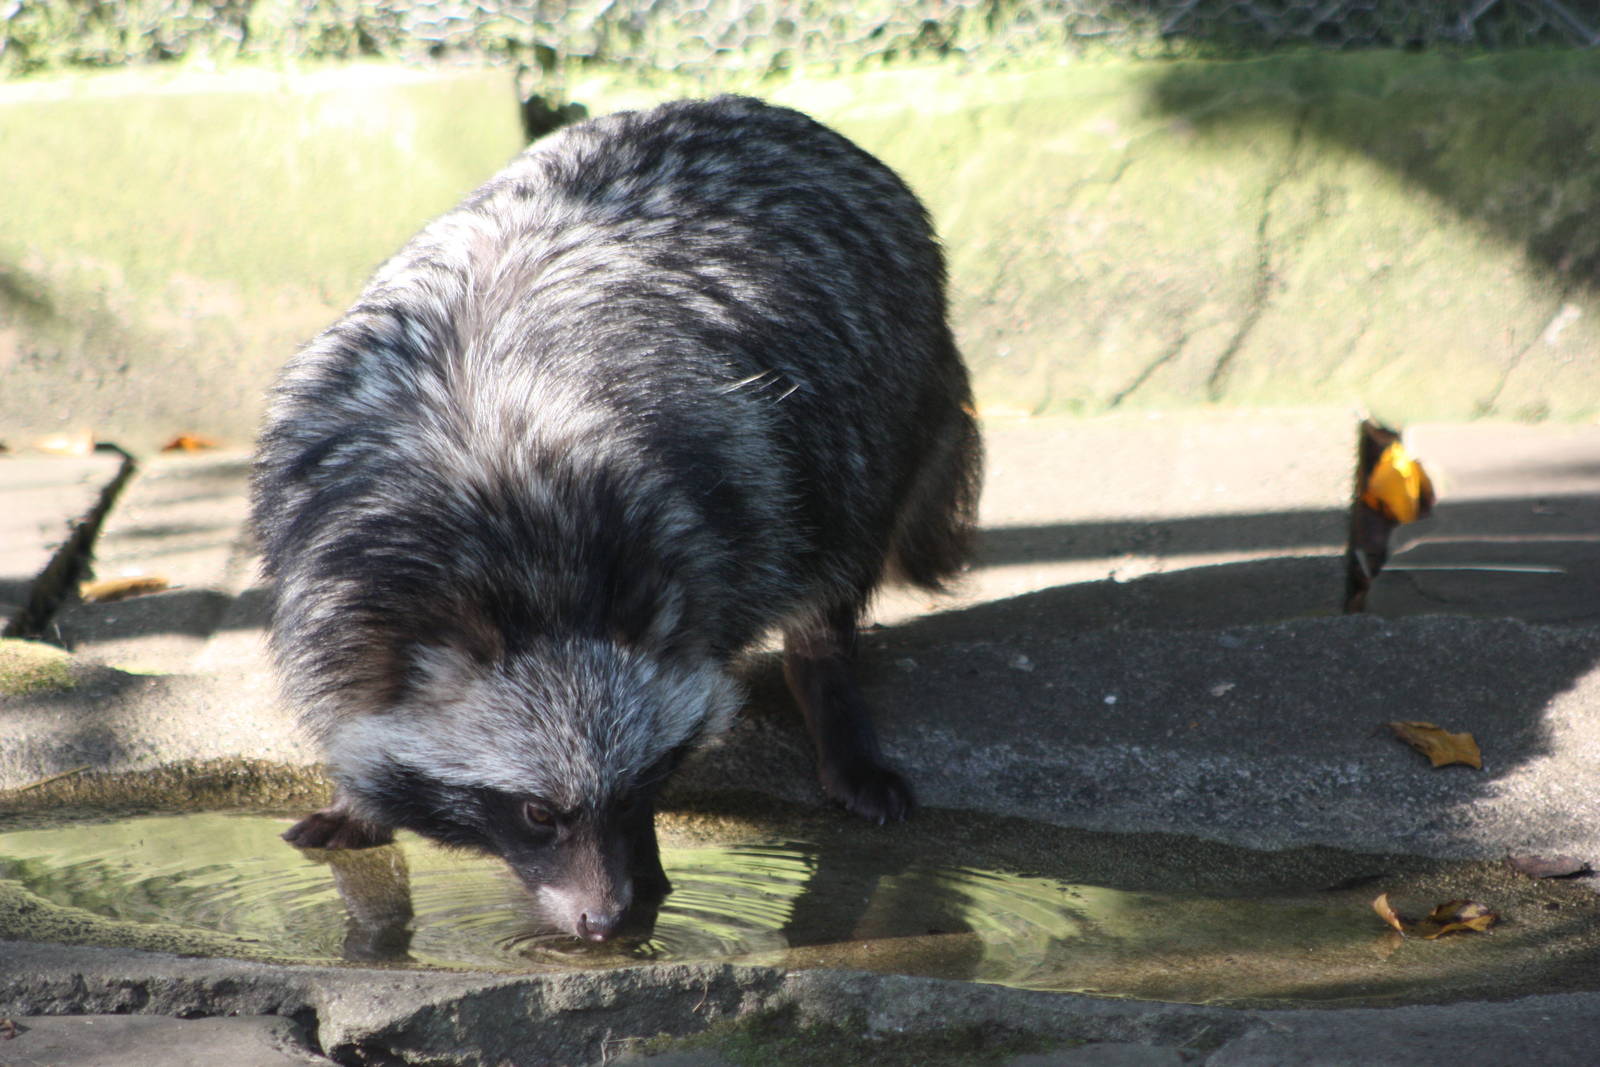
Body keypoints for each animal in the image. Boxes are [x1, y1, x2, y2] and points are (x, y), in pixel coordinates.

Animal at [251, 95, 981, 941]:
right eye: (537, 812)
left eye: (638, 789)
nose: (606, 921)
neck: (521, 545)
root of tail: (752, 109)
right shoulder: (318, 544)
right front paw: (360, 796)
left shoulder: (714, 520)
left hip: (867, 411)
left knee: (835, 551)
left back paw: (826, 680)